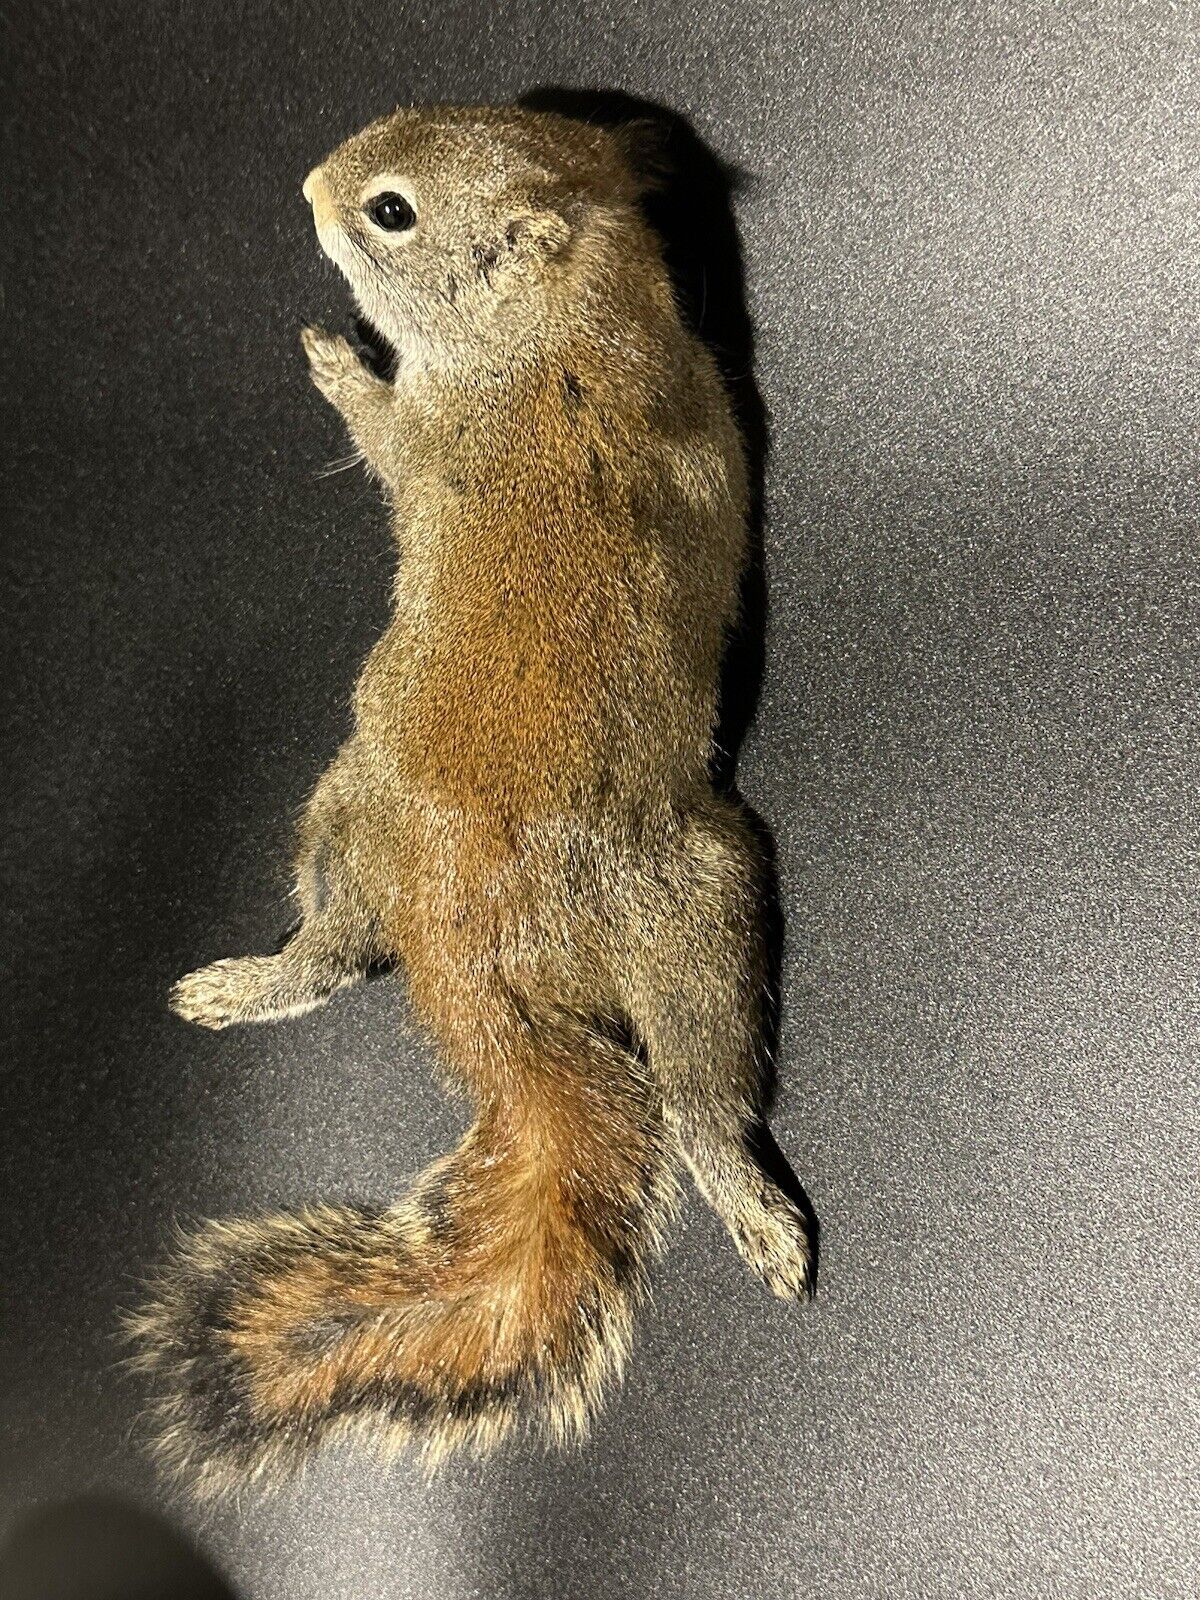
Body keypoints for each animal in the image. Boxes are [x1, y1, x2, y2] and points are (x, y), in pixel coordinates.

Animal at [130, 104, 811, 1496]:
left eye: (389, 210)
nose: (311, 186)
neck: (572, 325)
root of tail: (477, 951)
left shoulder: (440, 431)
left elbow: (384, 430)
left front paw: (336, 356)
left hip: (382, 816)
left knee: (350, 952)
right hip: (695, 917)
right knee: (693, 1087)